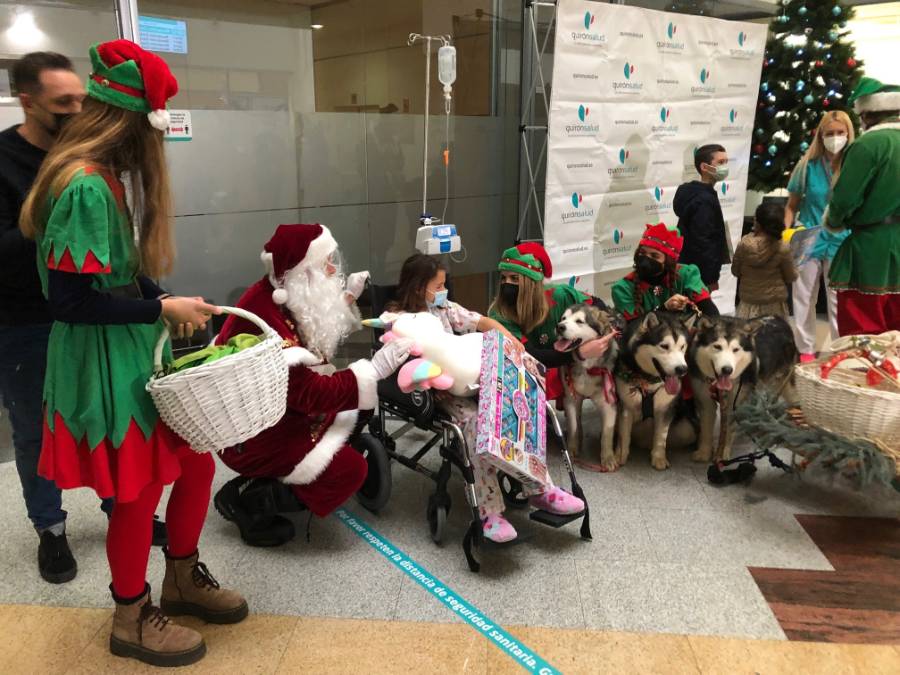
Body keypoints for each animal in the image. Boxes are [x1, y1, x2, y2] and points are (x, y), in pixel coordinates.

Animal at [556, 304, 620, 472]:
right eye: (563, 318)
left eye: (579, 321)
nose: (559, 327)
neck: (587, 367)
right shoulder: (570, 399)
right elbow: (573, 426)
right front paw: (572, 450)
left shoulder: (609, 404)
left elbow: (607, 433)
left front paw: (608, 458)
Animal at [620, 312, 688, 470]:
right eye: (664, 346)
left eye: (682, 346)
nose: (682, 369)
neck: (649, 380)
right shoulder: (626, 407)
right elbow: (624, 435)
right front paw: (619, 457)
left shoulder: (666, 408)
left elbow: (661, 436)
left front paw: (658, 458)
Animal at [692, 312, 800, 462]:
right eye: (717, 347)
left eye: (735, 349)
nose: (727, 370)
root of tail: (778, 318)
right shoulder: (705, 398)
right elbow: (706, 428)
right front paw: (704, 452)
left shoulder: (736, 401)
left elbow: (729, 429)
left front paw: (723, 454)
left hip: (780, 382)